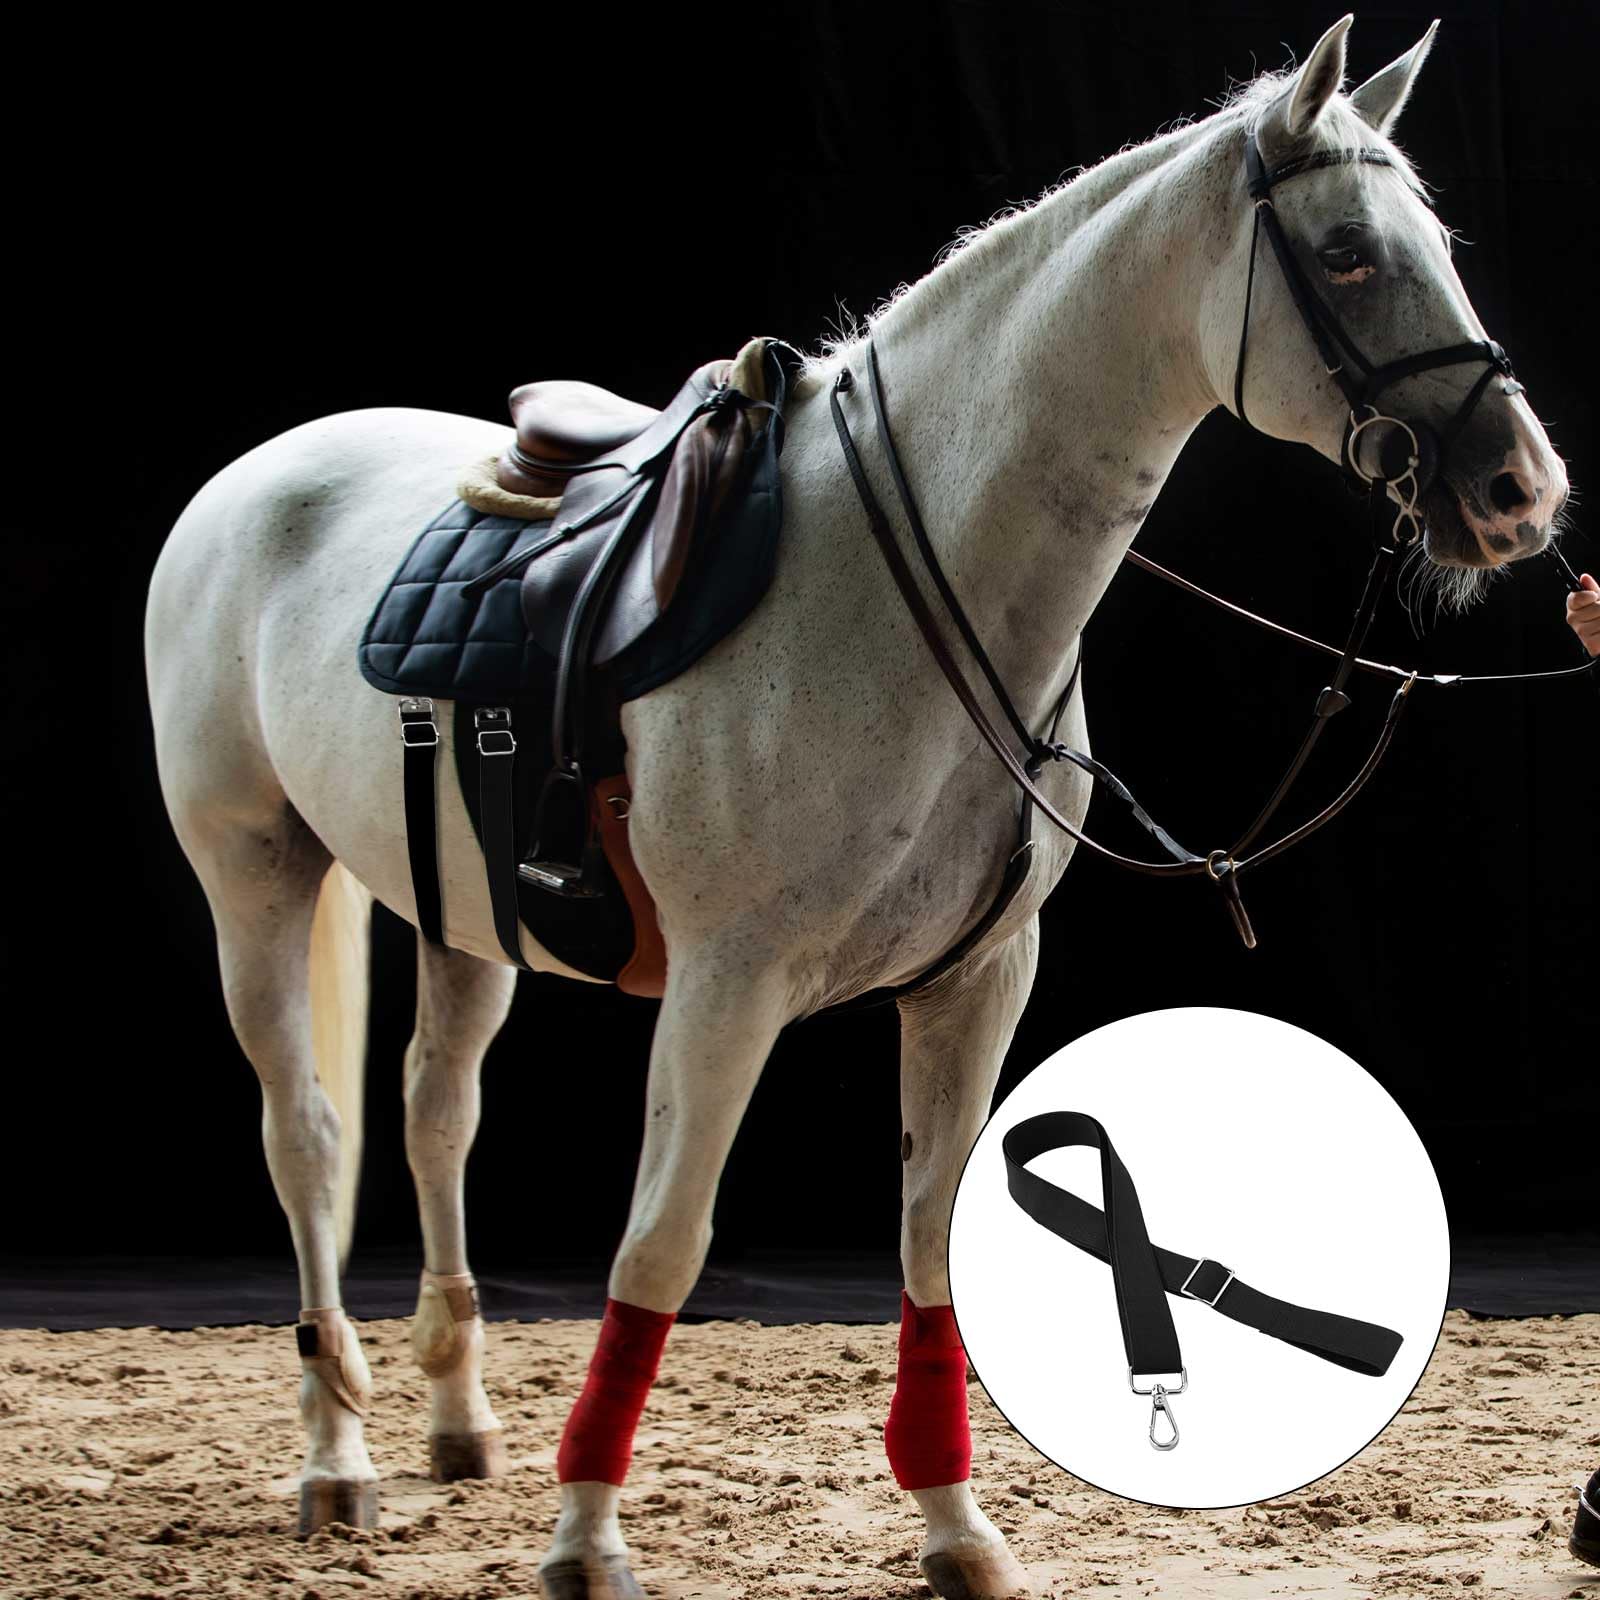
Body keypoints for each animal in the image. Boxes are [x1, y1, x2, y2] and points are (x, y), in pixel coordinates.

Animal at [143, 16, 1568, 1598]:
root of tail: (260, 476)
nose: (1521, 491)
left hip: (461, 918)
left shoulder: (974, 982)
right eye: (1348, 255)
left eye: (1433, 243)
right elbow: (659, 1247)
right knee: (309, 1135)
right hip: (252, 875)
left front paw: (954, 1527)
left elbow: (933, 1246)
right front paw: (587, 1538)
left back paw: (457, 1424)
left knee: (433, 1115)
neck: (896, 582)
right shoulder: (726, 988)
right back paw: (336, 1458)